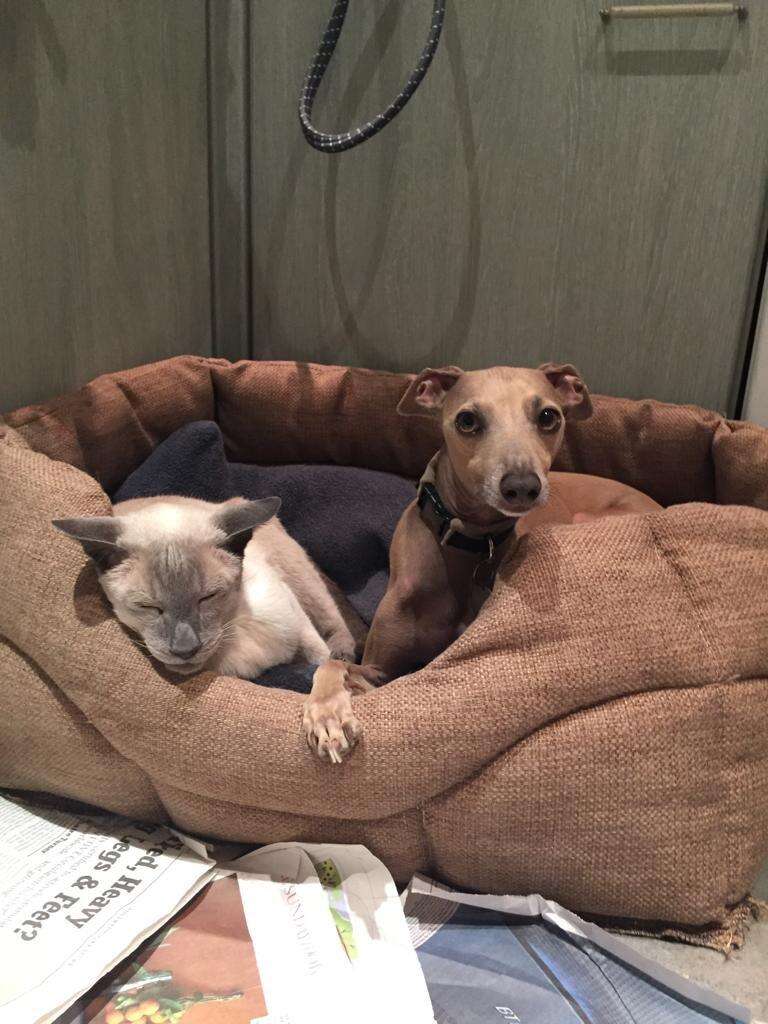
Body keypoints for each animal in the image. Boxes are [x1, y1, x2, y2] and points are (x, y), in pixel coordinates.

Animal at [51, 495, 358, 679]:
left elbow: (319, 657)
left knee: (335, 625)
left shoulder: (292, 613)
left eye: (208, 597)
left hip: (298, 576)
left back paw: (344, 655)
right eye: (148, 607)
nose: (185, 650)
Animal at [303, 366, 663, 761]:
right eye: (467, 420)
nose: (522, 487)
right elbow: (333, 663)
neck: (470, 544)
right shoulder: (379, 668)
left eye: (548, 416)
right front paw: (327, 716)